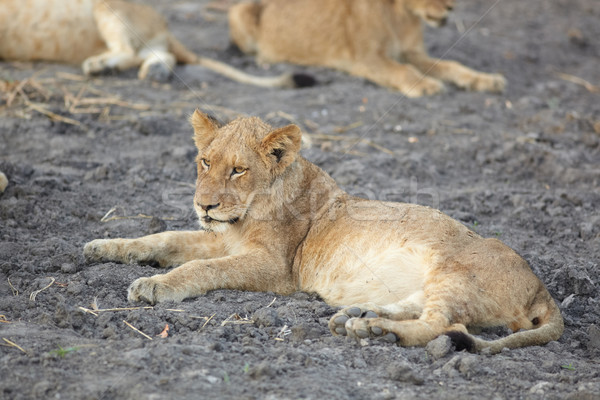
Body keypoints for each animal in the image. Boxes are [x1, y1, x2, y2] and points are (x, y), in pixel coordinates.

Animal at [0, 0, 316, 88]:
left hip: (107, 8)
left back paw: (100, 67)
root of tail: (164, 24)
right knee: (158, 55)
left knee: (128, 51)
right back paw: (154, 72)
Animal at [84, 109, 564, 354]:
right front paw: (102, 246)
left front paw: (155, 286)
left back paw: (375, 332)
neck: (247, 213)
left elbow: (202, 270)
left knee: (439, 325)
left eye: (238, 170)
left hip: (457, 271)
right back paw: (359, 315)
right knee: (422, 310)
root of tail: (542, 289)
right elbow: (161, 239)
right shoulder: (219, 236)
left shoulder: (277, 269)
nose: (205, 204)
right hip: (436, 282)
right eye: (205, 161)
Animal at [230, 0, 506, 97]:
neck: (402, 16)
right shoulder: (367, 59)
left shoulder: (413, 53)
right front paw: (427, 86)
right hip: (240, 10)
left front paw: (488, 80)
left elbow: (452, 66)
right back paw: (264, 59)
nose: (451, 7)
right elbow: (402, 71)